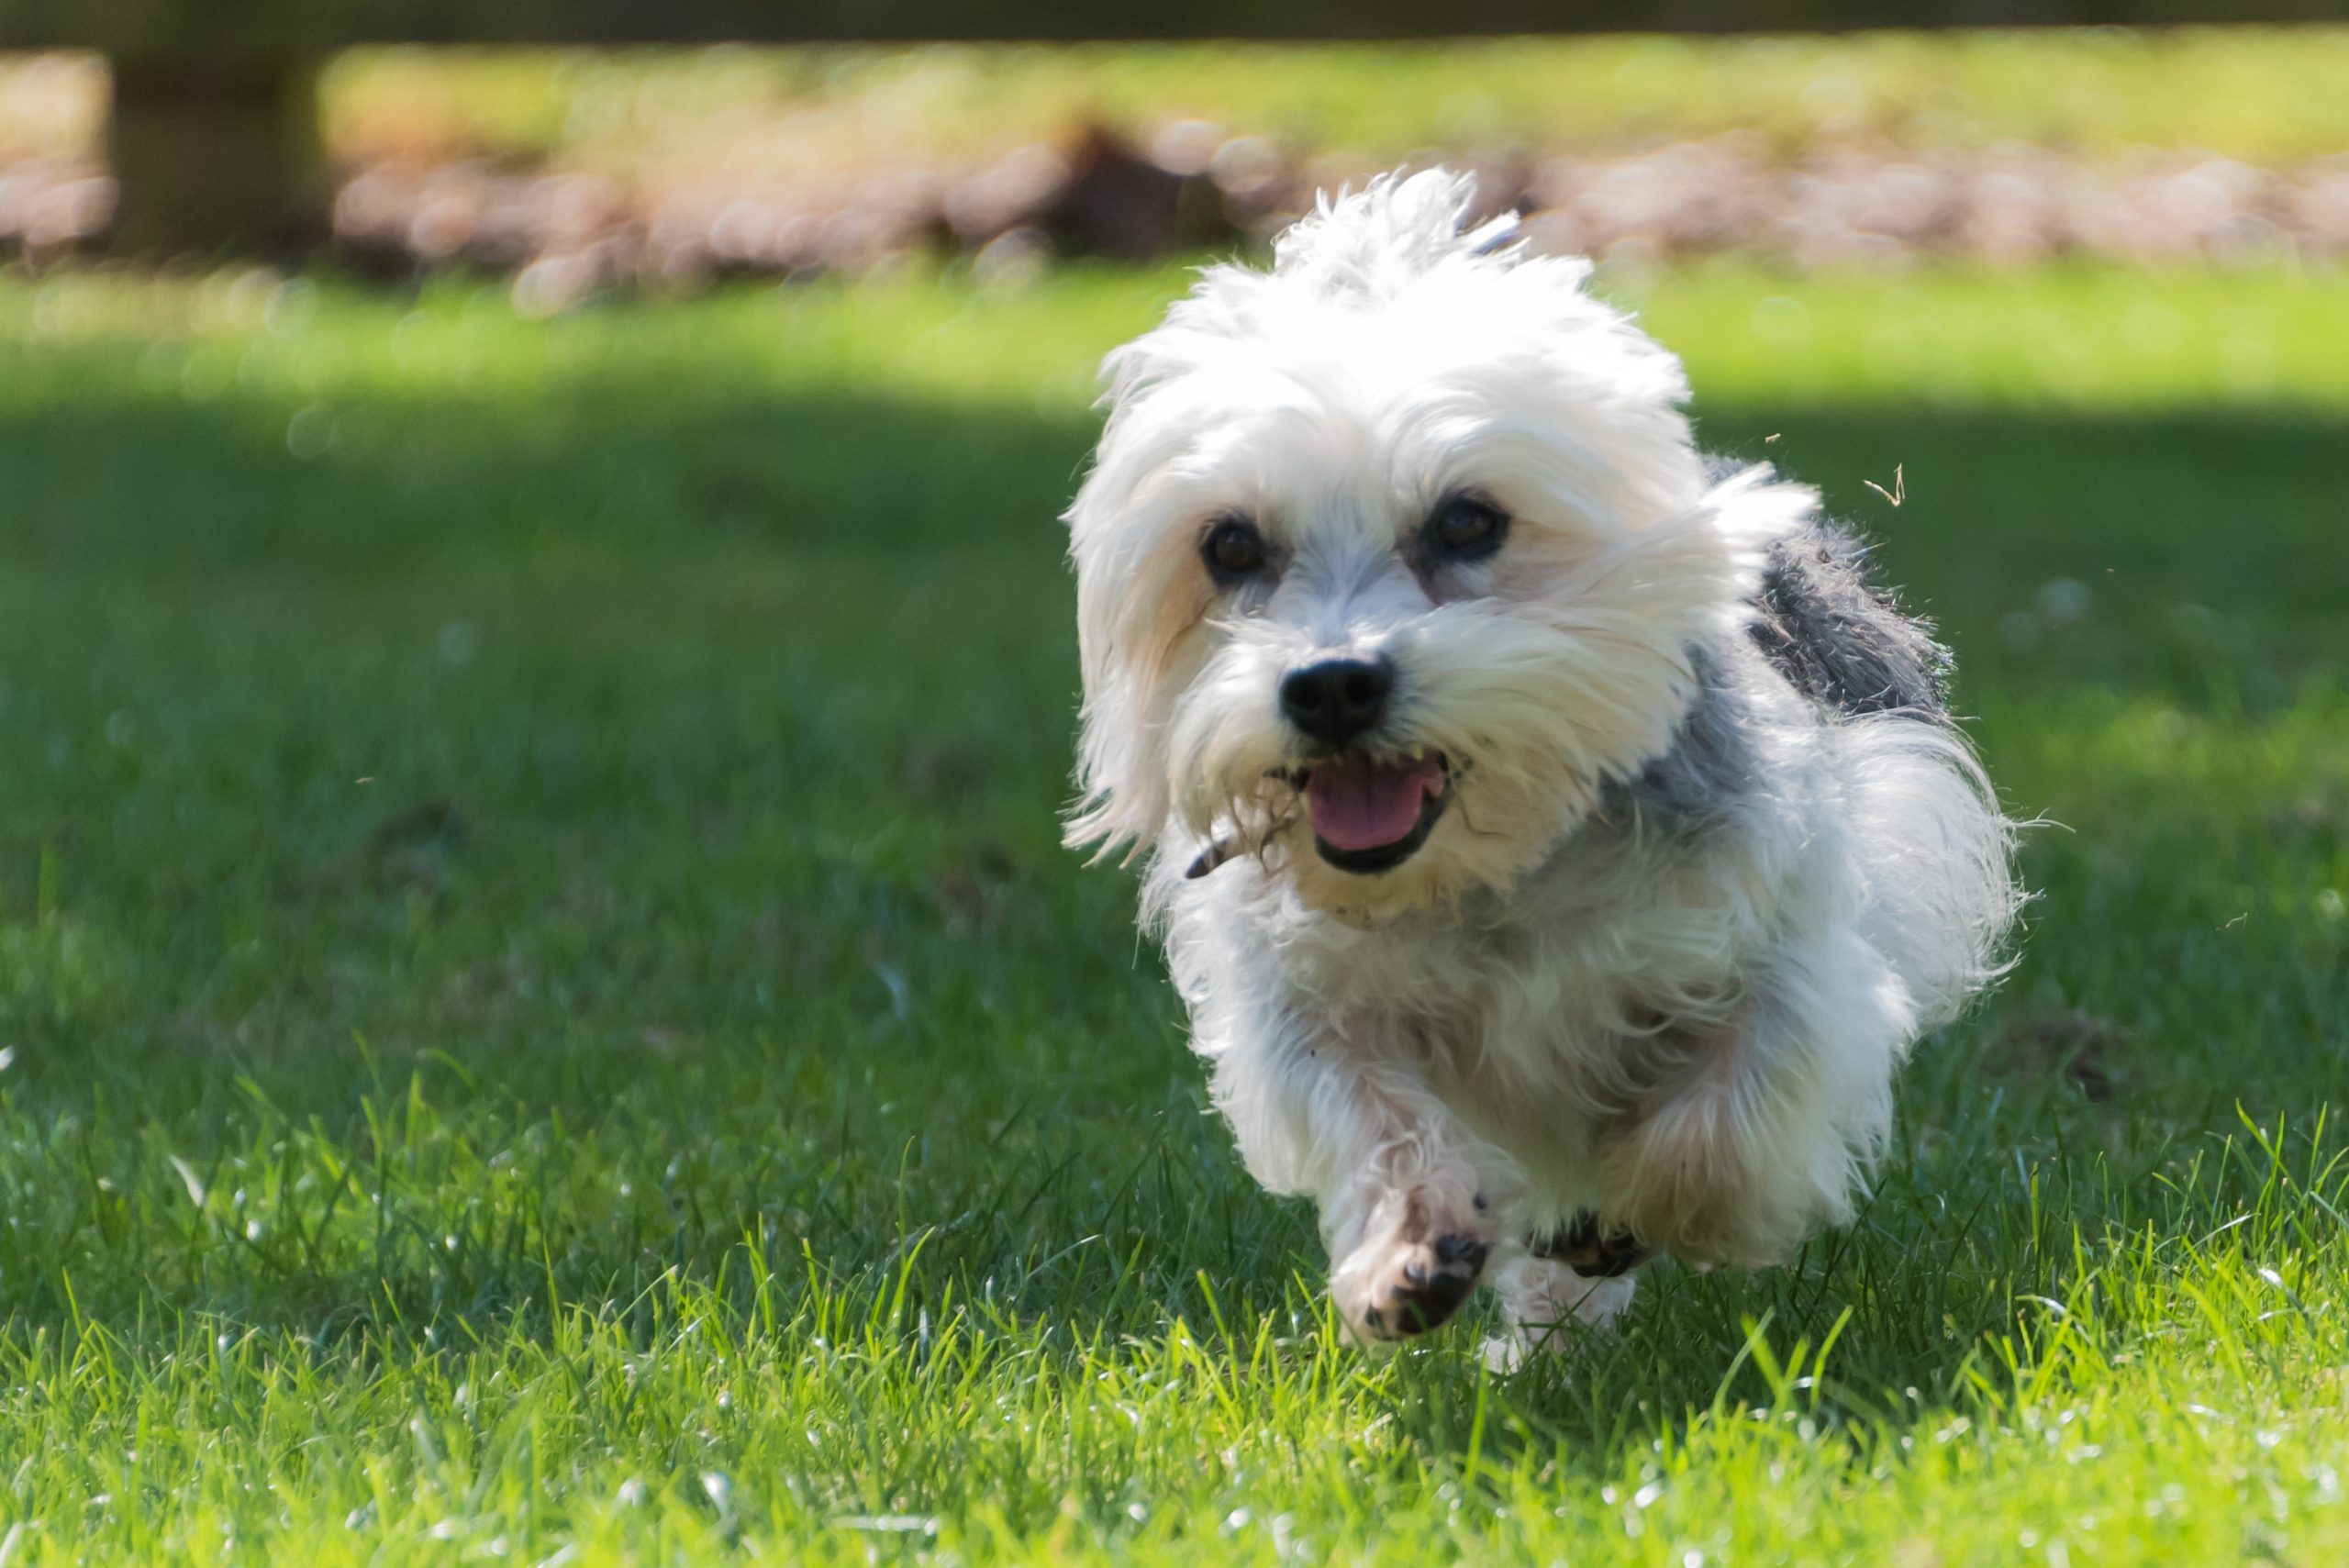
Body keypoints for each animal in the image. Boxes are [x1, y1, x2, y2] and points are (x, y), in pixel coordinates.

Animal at [1066, 169, 2020, 1361]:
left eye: (1467, 520)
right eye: (1228, 544)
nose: (1329, 685)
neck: (1496, 873)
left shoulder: (1791, 947)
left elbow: (1716, 1124)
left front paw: (1639, 1209)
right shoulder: (1298, 1003)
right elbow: (1372, 1111)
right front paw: (1407, 1246)